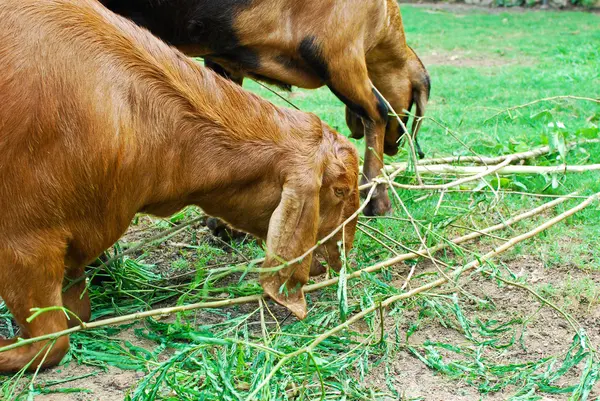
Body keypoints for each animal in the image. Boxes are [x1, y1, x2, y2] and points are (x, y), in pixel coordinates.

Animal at [99, 0, 432, 216]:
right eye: (410, 105)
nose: (394, 147)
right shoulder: (336, 50)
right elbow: (377, 112)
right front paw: (377, 201)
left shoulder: (223, 59)